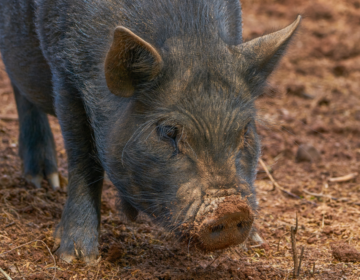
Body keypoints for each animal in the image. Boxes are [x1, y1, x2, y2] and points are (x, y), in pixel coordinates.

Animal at [0, 0, 300, 262]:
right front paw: (76, 258)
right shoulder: (65, 74)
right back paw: (44, 181)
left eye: (245, 130)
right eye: (168, 132)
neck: (188, 35)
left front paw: (255, 241)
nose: (231, 211)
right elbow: (84, 161)